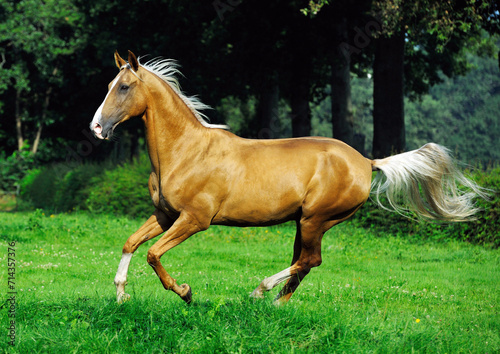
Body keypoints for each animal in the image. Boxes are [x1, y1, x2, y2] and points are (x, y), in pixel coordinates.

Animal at [91, 51, 488, 306]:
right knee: (304, 264)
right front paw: (121, 294)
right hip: (304, 222)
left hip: (316, 219)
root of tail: (367, 161)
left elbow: (153, 254)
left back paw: (260, 292)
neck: (185, 152)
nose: (96, 127)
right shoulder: (165, 215)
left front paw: (186, 292)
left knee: (311, 261)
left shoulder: (195, 220)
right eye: (109, 83)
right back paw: (276, 305)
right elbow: (131, 243)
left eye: (124, 87)